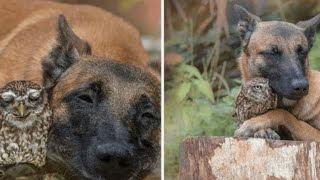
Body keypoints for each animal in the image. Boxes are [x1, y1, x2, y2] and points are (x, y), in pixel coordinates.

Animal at [232, 4, 320, 141]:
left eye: (302, 52)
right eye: (273, 52)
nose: (302, 87)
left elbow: (283, 114)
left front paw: (255, 123)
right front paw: (263, 130)